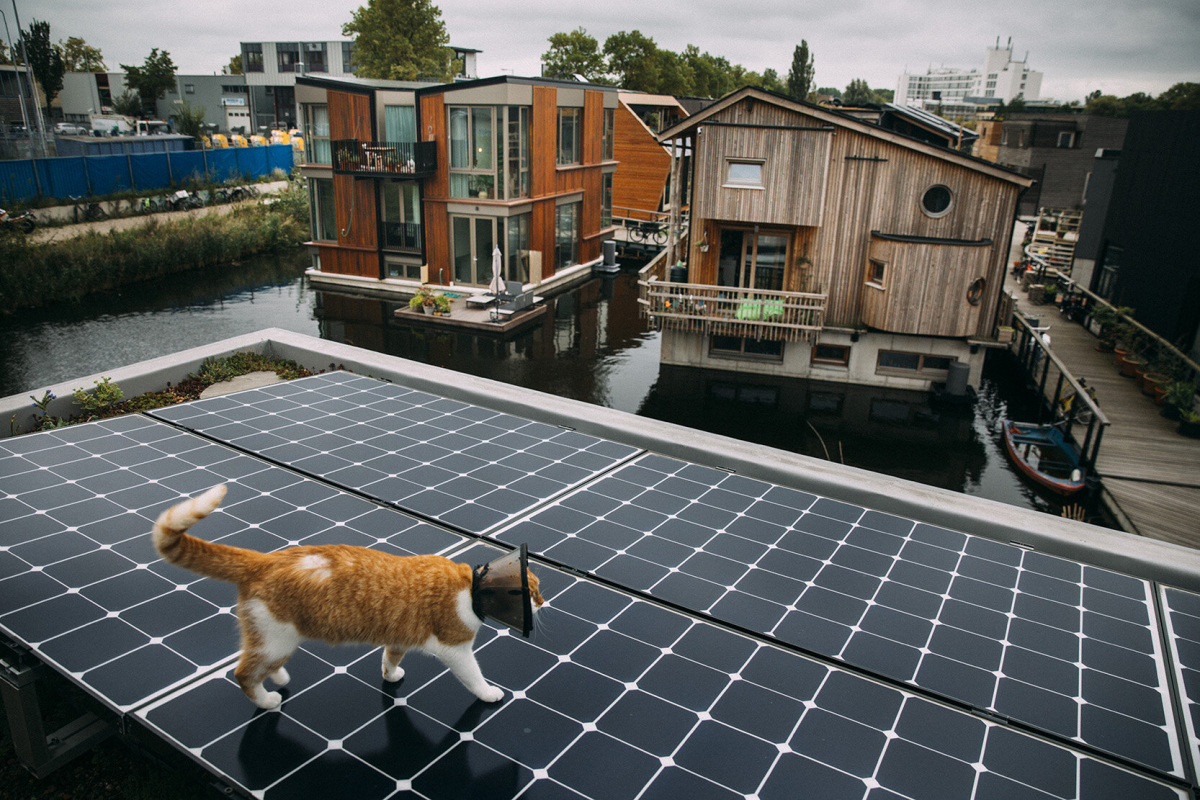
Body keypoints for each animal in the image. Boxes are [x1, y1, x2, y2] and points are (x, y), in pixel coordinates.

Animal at [152, 484, 547, 710]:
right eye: (534, 590)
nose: (544, 602)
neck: (473, 589)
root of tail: (265, 559)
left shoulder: (398, 635)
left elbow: (389, 656)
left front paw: (391, 674)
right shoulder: (456, 649)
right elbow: (473, 676)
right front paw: (489, 693)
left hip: (274, 639)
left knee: (262, 664)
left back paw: (278, 678)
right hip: (276, 637)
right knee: (243, 673)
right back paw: (267, 700)